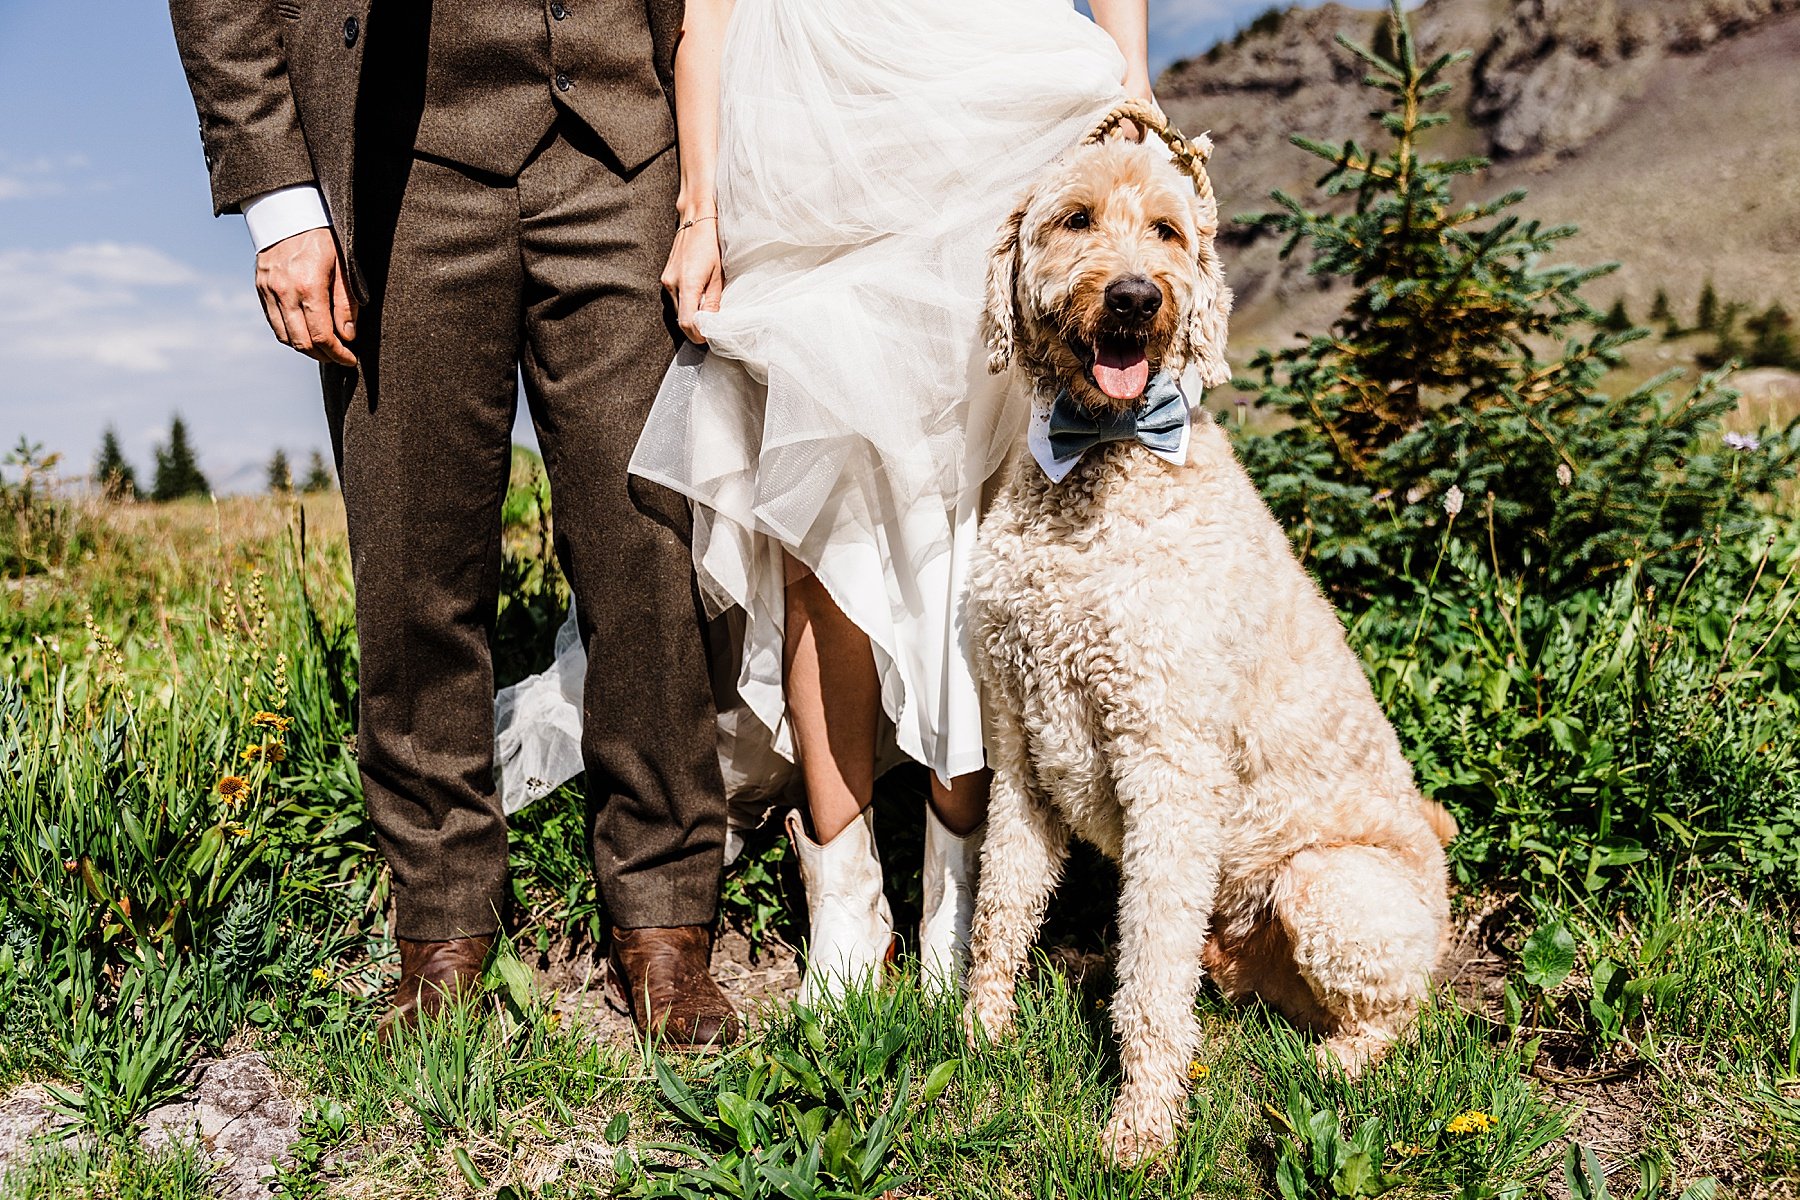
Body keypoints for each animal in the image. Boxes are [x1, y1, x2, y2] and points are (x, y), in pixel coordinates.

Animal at [964, 112, 1454, 1165]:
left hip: (1328, 888)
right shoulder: (1020, 746)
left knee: (1399, 1016)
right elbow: (1000, 908)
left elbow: (1150, 979)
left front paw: (1140, 1130)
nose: (1137, 297)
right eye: (1075, 219)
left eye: (1167, 230)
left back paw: (1332, 1068)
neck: (1103, 465)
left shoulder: (1170, 769)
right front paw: (979, 1033)